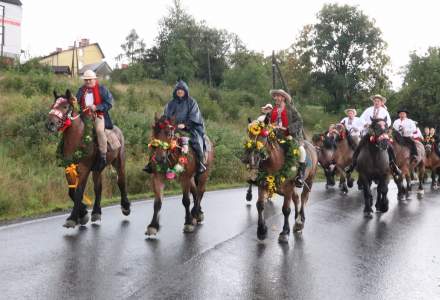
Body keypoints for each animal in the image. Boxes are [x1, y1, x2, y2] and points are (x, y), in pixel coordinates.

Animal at [45, 89, 131, 227]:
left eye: (65, 106)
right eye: (53, 105)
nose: (50, 124)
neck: (77, 139)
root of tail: (118, 131)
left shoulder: (84, 169)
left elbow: (79, 192)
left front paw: (73, 218)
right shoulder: (68, 169)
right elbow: (72, 192)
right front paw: (83, 213)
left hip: (119, 162)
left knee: (121, 182)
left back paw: (125, 207)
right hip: (98, 168)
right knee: (98, 187)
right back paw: (96, 212)